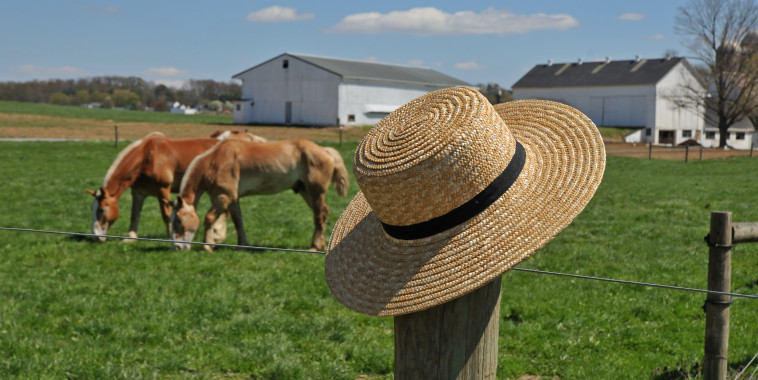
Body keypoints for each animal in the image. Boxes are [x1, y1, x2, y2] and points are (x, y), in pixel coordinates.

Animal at [87, 132, 262, 242]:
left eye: (101, 210)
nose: (96, 237)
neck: (147, 156)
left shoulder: (163, 189)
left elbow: (166, 214)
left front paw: (169, 235)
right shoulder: (138, 192)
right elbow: (134, 215)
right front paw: (130, 237)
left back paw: (218, 236)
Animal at [171, 138, 350, 251]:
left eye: (179, 220)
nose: (177, 247)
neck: (216, 160)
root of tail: (325, 150)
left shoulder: (223, 197)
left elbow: (209, 218)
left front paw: (207, 246)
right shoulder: (233, 199)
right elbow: (238, 221)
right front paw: (242, 245)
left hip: (316, 191)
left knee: (319, 215)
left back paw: (313, 246)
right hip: (305, 191)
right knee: (323, 213)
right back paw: (321, 245)